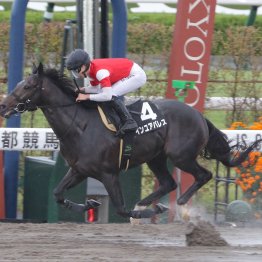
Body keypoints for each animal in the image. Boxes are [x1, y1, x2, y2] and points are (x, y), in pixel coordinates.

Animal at [0, 64, 258, 219]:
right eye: (19, 83)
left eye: (28, 86)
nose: (4, 106)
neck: (79, 126)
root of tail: (198, 114)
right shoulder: (79, 170)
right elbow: (57, 193)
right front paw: (90, 205)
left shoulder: (109, 174)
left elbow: (122, 210)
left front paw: (152, 211)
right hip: (156, 157)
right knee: (168, 183)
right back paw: (146, 203)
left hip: (180, 156)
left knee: (203, 175)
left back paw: (179, 203)